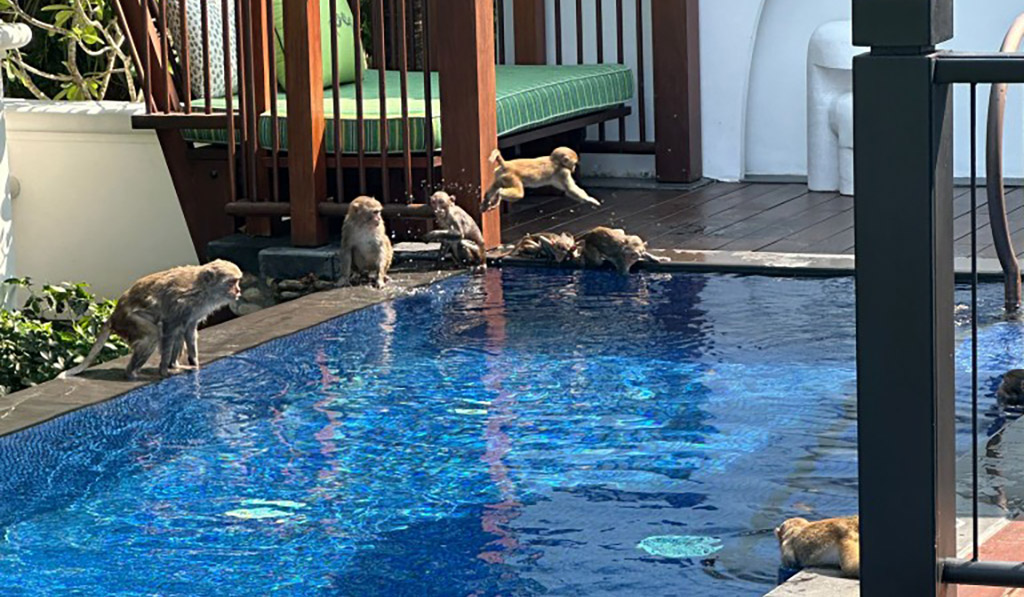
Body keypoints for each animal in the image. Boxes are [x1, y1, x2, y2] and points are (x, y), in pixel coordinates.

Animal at [59, 259, 241, 380]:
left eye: (237, 282)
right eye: (232, 282)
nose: (238, 291)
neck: (203, 289)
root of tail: (114, 315)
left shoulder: (194, 310)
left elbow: (188, 330)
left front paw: (194, 363)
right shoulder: (181, 302)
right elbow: (169, 327)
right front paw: (164, 371)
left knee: (178, 333)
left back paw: (173, 365)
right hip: (128, 322)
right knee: (153, 335)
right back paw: (131, 374)